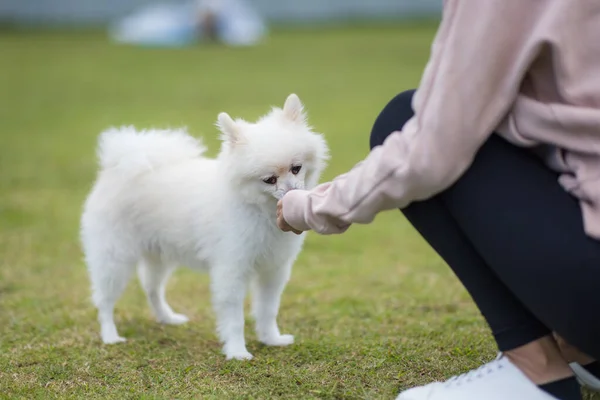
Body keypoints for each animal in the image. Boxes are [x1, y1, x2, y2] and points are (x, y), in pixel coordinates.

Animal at [79, 94, 328, 360]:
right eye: (269, 180)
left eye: (296, 168)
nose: (292, 194)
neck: (259, 210)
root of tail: (117, 166)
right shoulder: (231, 270)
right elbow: (235, 318)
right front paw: (237, 351)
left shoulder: (273, 269)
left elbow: (268, 309)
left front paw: (271, 339)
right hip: (114, 258)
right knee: (105, 300)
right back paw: (110, 336)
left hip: (159, 255)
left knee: (152, 289)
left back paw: (167, 318)